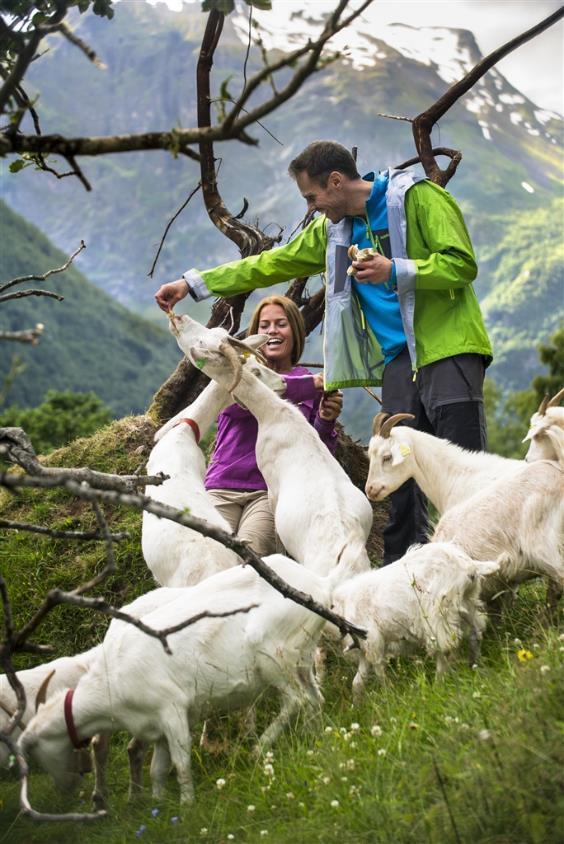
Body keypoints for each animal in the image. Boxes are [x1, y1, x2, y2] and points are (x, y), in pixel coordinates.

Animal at [19, 552, 352, 804]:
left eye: (39, 748)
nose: (66, 788)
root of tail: (320, 584)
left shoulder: (172, 710)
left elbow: (181, 763)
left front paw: (187, 805)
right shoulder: (156, 727)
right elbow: (157, 768)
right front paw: (157, 805)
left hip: (272, 656)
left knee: (296, 700)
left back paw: (260, 748)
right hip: (301, 656)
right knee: (313, 699)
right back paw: (316, 741)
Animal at [330, 540, 498, 700]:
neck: (342, 605)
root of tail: (469, 566)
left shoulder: (373, 640)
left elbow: (379, 671)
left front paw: (388, 694)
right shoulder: (366, 648)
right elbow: (358, 682)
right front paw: (357, 704)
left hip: (438, 614)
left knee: (446, 650)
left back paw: (439, 686)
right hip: (467, 603)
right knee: (476, 632)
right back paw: (474, 666)